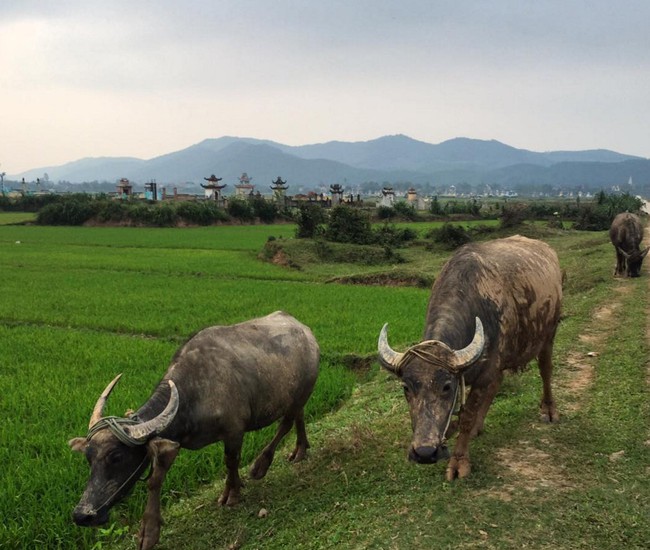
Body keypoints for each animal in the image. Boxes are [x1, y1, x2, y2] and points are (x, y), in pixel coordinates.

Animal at [69, 312, 318, 550]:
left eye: (116, 456)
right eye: (88, 458)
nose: (82, 515)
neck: (194, 392)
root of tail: (306, 332)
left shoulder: (234, 431)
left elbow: (231, 462)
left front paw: (232, 493)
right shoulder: (173, 440)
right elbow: (155, 480)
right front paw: (149, 532)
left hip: (302, 392)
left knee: (285, 424)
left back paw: (261, 466)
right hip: (297, 397)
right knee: (299, 417)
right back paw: (300, 450)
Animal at [378, 237, 560, 484]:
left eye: (447, 386)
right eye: (406, 388)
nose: (425, 453)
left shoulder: (486, 370)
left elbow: (467, 415)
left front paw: (459, 461)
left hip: (549, 333)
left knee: (545, 369)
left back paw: (548, 410)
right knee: (497, 384)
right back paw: (478, 427)